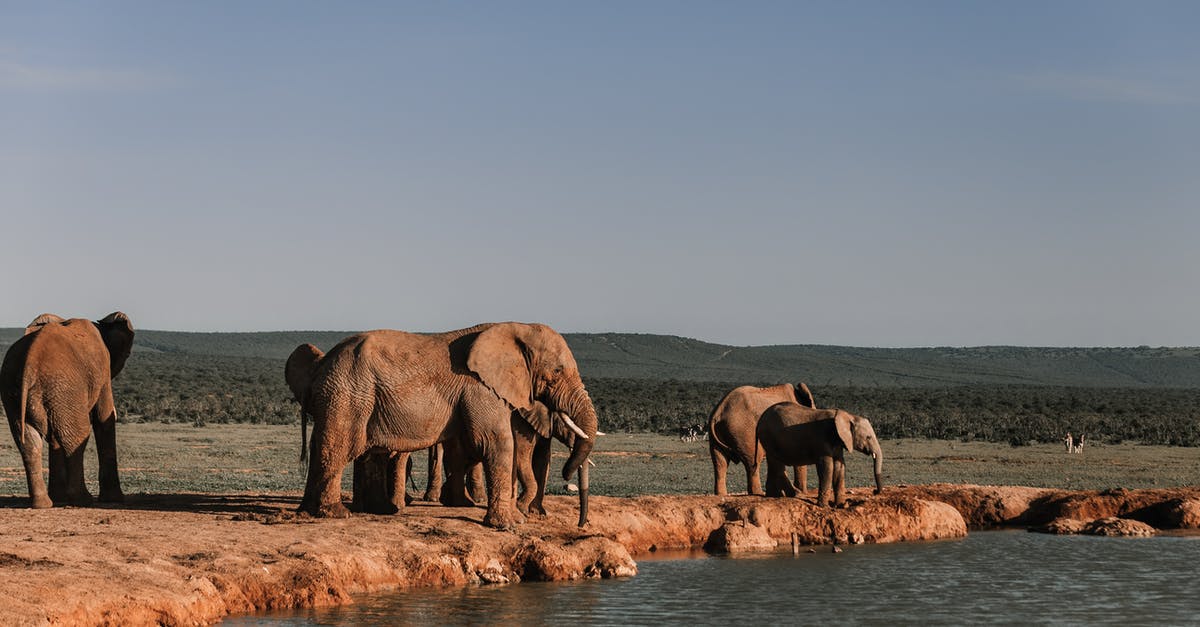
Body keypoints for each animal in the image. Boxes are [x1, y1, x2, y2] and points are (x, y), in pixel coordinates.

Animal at [1, 312, 134, 508]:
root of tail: (30, 363)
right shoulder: (103, 371)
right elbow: (103, 419)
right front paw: (114, 499)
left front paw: (59, 497)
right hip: (64, 388)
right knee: (77, 436)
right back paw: (83, 500)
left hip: (19, 390)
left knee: (29, 442)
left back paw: (43, 504)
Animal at [298, 322, 598, 528]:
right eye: (557, 372)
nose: (582, 525)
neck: (515, 327)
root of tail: (321, 364)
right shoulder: (481, 388)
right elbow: (497, 441)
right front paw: (508, 525)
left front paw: (516, 519)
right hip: (348, 393)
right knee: (340, 446)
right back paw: (336, 513)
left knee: (335, 447)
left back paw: (316, 512)